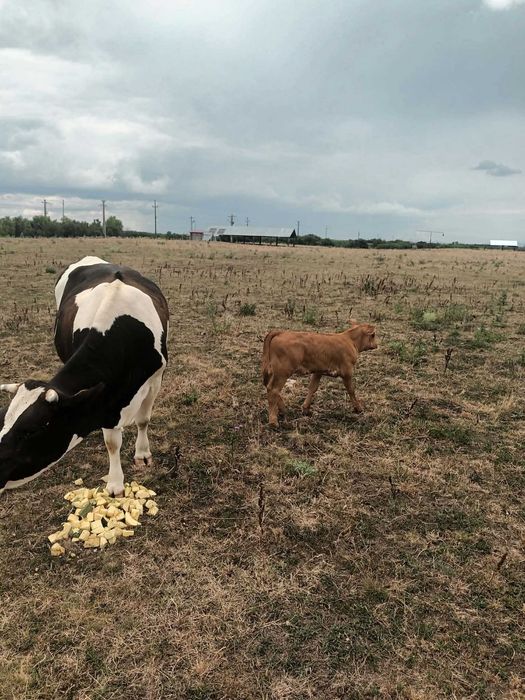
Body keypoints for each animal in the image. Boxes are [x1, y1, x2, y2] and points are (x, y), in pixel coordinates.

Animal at [0, 256, 169, 497]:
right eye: (1, 418)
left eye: (31, 431)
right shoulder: (105, 398)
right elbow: (112, 442)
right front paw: (115, 483)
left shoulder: (155, 378)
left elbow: (143, 420)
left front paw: (142, 455)